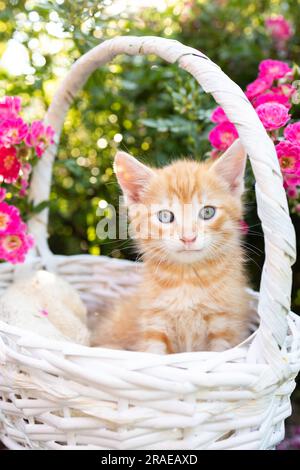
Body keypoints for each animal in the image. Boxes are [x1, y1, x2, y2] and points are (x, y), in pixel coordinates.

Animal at [92, 140, 251, 352]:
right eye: (165, 216)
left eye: (207, 212)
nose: (188, 237)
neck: (188, 280)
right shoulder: (155, 324)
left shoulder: (225, 327)